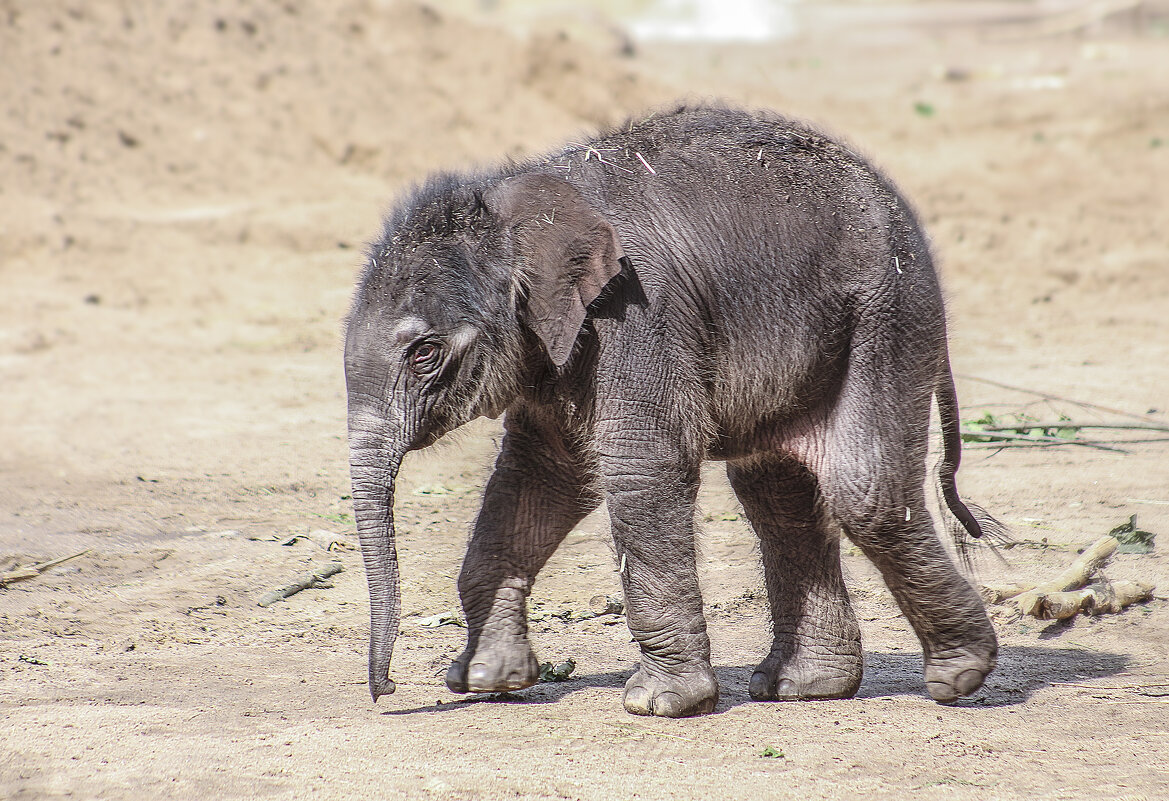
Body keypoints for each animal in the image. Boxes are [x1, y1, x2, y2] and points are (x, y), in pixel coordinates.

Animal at [341, 102, 1000, 715]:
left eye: (425, 354)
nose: (386, 690)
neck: (512, 205)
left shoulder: (637, 314)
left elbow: (641, 468)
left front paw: (659, 703)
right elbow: (539, 478)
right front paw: (485, 679)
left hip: (889, 314)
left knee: (863, 490)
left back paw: (959, 676)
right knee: (776, 493)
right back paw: (804, 687)